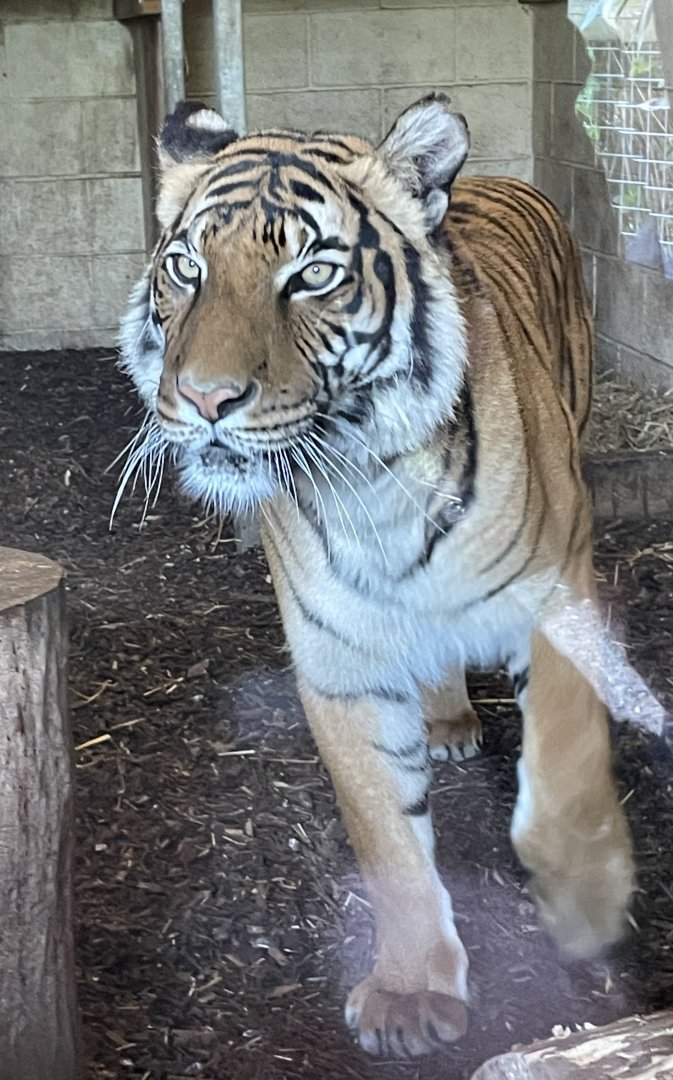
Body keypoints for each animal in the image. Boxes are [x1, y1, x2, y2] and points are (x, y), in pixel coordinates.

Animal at [120, 94, 634, 1058]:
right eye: (185, 268)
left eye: (313, 275)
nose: (205, 400)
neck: (371, 481)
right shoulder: (342, 656)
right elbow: (384, 833)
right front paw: (407, 992)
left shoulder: (557, 588)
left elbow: (565, 756)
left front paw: (585, 904)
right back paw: (446, 722)